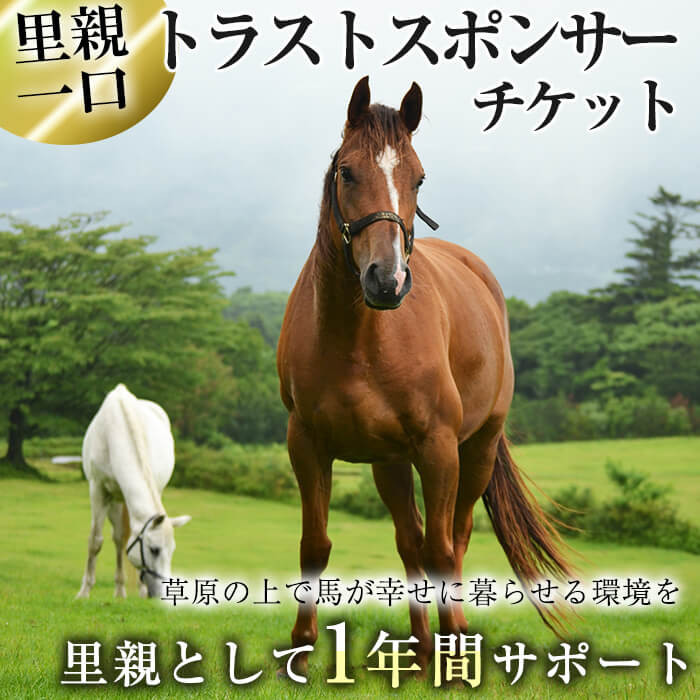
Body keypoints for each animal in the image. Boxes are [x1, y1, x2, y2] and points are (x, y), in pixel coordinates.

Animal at [76, 384, 190, 599]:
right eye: (154, 550)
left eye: (172, 551)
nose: (163, 591)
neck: (115, 432)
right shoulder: (98, 490)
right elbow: (95, 541)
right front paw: (84, 591)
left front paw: (139, 589)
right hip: (115, 499)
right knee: (119, 538)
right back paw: (120, 590)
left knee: (121, 537)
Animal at [277, 76, 571, 673]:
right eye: (348, 172)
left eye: (418, 177)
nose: (386, 279)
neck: (357, 337)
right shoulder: (307, 443)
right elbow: (316, 545)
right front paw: (301, 646)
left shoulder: (438, 448)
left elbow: (441, 548)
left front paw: (455, 648)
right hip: (389, 461)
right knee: (409, 540)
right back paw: (419, 648)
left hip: (476, 450)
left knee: (452, 539)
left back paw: (449, 644)